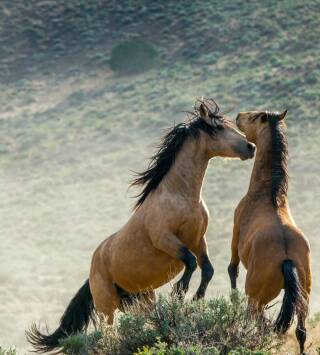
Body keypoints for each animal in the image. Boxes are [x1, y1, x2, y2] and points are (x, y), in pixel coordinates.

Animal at [25, 98, 255, 354]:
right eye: (219, 127)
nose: (250, 147)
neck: (181, 196)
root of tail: (92, 268)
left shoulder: (198, 240)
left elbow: (207, 269)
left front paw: (195, 299)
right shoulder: (165, 239)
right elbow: (190, 262)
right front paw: (179, 293)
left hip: (140, 299)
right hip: (107, 306)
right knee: (108, 332)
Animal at [229, 110, 312, 354]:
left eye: (254, 117)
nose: (238, 115)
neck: (268, 193)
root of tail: (287, 258)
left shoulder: (235, 235)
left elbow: (232, 269)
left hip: (256, 298)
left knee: (260, 325)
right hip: (303, 297)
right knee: (300, 331)